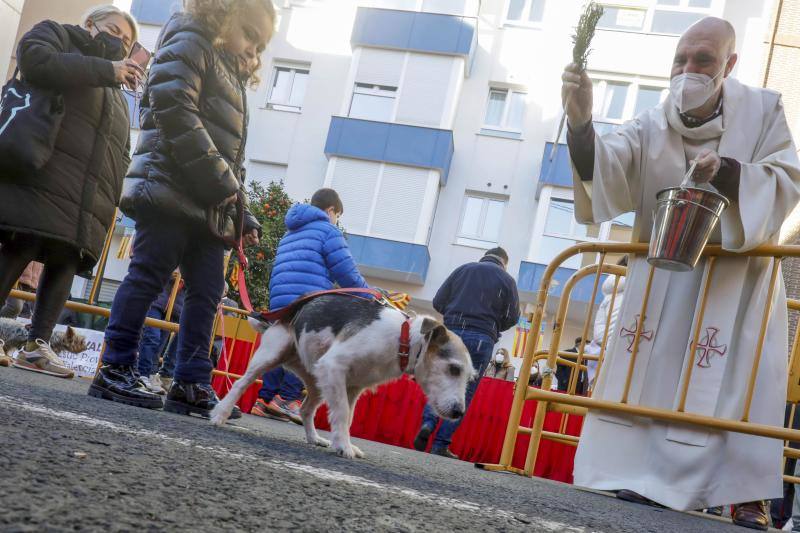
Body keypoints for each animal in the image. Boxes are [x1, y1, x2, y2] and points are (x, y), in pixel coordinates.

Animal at [212, 296, 476, 458]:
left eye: (469, 378)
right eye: (454, 369)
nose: (458, 412)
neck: (403, 340)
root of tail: (281, 316)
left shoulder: (352, 386)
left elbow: (348, 417)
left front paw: (342, 442)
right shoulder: (335, 367)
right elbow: (340, 413)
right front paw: (343, 446)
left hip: (317, 380)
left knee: (306, 410)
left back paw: (314, 438)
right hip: (272, 356)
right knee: (240, 384)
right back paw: (220, 414)